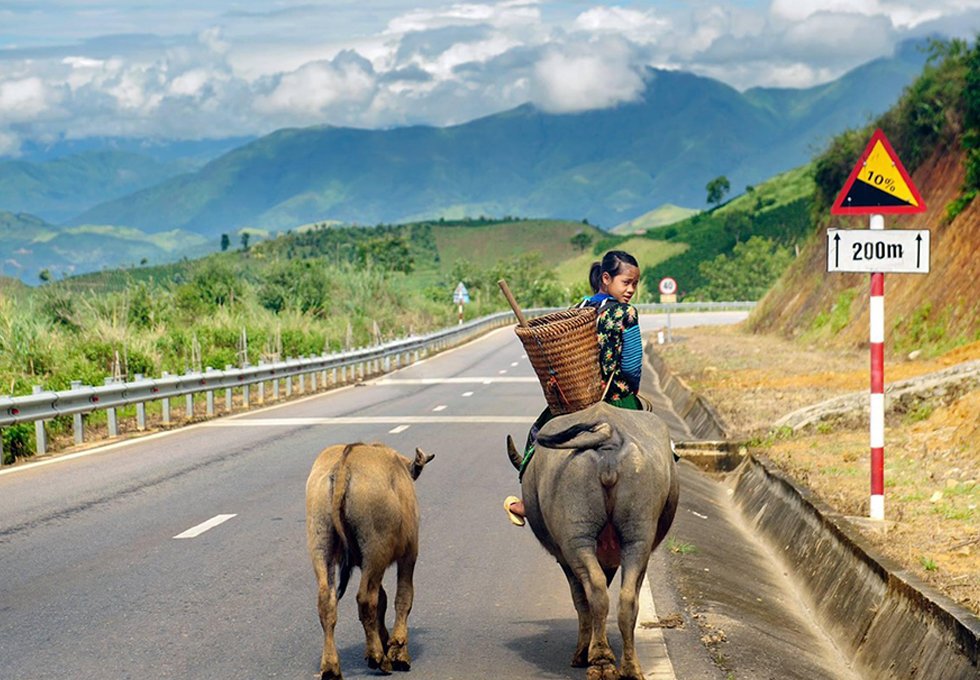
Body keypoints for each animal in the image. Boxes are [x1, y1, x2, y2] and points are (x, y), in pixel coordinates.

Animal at [302, 444, 432, 676]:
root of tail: (343, 465)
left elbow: (383, 599)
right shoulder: (409, 555)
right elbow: (402, 597)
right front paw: (398, 651)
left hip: (321, 542)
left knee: (327, 601)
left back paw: (331, 667)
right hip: (375, 550)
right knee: (365, 599)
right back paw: (377, 657)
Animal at [510, 402, 676, 676]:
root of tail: (608, 436)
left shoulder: (564, 558)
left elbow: (581, 600)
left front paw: (581, 653)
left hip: (576, 538)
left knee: (595, 590)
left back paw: (598, 658)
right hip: (638, 536)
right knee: (627, 597)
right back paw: (629, 666)